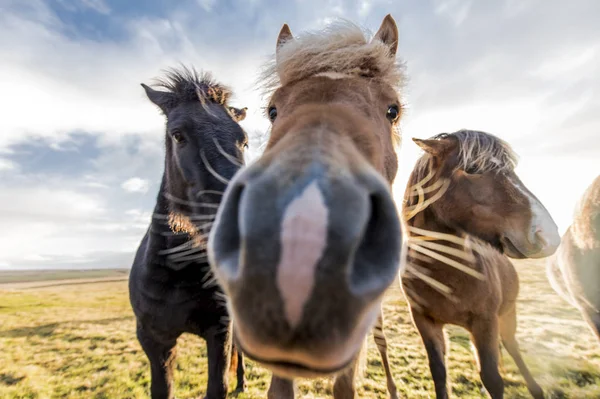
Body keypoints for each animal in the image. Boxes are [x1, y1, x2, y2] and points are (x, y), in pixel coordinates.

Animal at [127, 67, 247, 398]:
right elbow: (162, 389)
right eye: (178, 134)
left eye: (243, 141)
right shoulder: (155, 340)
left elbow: (218, 385)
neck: (179, 270)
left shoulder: (220, 332)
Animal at [400, 131, 560, 399]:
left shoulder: (486, 322)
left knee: (512, 347)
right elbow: (439, 373)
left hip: (507, 315)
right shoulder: (424, 321)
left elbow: (492, 379)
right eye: (473, 168)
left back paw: (535, 389)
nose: (548, 236)